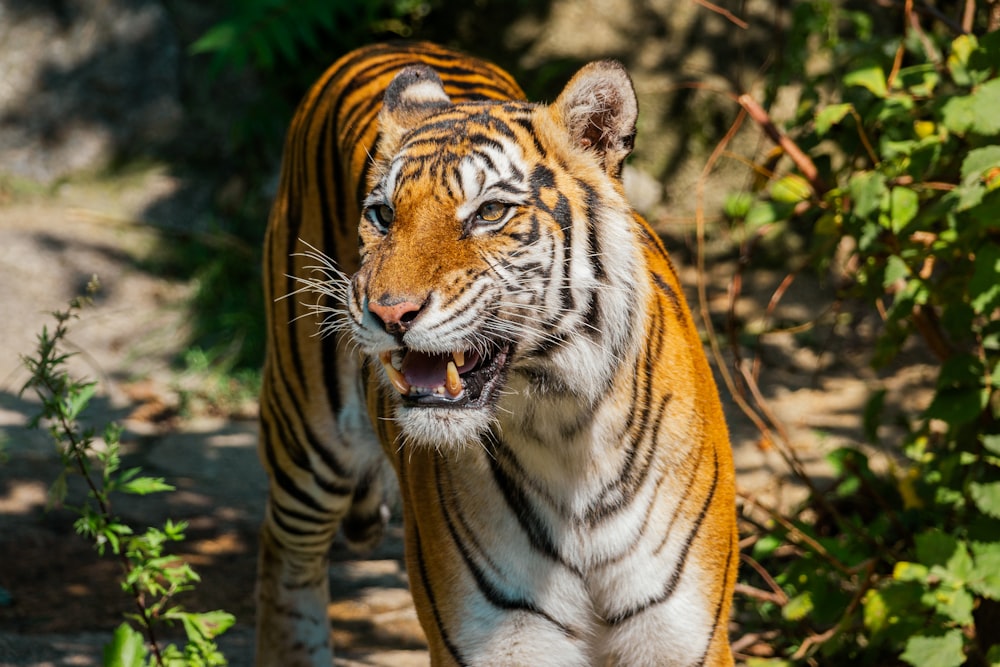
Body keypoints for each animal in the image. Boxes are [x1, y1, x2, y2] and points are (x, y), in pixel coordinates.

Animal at [254, 43, 740, 667]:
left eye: (489, 213)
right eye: (384, 215)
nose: (389, 313)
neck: (563, 430)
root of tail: (383, 45)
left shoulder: (682, 638)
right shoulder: (495, 641)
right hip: (309, 437)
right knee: (284, 560)